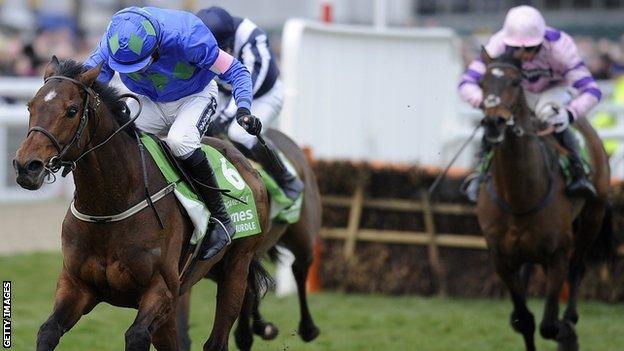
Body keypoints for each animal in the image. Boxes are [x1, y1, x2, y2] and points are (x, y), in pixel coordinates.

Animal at [12, 58, 274, 351]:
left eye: (71, 110)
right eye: (30, 106)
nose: (27, 166)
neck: (109, 207)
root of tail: (244, 162)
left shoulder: (161, 290)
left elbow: (136, 335)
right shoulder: (76, 285)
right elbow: (47, 331)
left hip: (235, 268)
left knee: (216, 340)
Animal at [478, 50, 616, 351]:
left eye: (515, 82)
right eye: (482, 83)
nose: (493, 122)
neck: (518, 197)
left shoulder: (558, 256)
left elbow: (549, 325)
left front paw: (567, 334)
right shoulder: (501, 259)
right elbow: (525, 321)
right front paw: (519, 318)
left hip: (592, 217)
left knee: (578, 267)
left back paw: (571, 318)